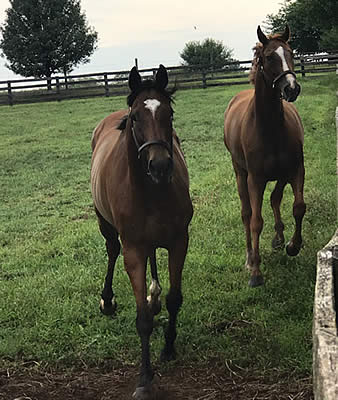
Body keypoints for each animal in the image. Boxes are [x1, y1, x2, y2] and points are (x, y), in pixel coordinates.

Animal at [91, 65, 193, 396]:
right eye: (135, 117)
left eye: (169, 114)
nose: (160, 165)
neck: (151, 193)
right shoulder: (133, 250)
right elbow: (143, 321)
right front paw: (144, 379)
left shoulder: (179, 241)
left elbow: (175, 299)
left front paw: (169, 348)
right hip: (105, 223)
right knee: (112, 251)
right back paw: (108, 300)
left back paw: (154, 295)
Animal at [224, 25, 306, 288]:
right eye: (269, 57)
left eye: (291, 53)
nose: (291, 88)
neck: (269, 128)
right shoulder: (256, 179)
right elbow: (256, 221)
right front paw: (256, 272)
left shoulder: (295, 169)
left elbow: (298, 207)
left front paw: (292, 245)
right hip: (240, 174)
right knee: (246, 214)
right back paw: (250, 257)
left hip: (281, 174)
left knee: (275, 198)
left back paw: (279, 238)